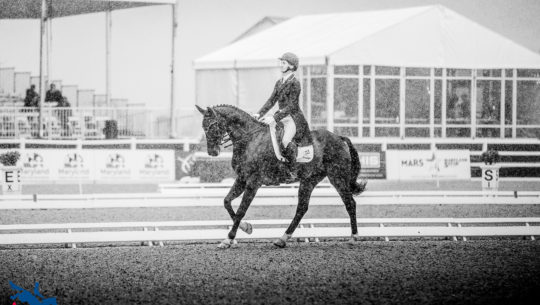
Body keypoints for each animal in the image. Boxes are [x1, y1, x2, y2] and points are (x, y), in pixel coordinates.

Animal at [196, 104, 370, 247]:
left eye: (212, 125)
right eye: (203, 127)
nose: (212, 152)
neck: (250, 139)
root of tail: (339, 137)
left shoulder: (253, 182)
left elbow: (241, 210)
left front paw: (229, 239)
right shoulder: (242, 179)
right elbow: (226, 202)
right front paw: (246, 227)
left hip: (337, 177)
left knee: (350, 203)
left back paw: (354, 237)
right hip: (309, 180)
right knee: (302, 208)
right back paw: (282, 239)